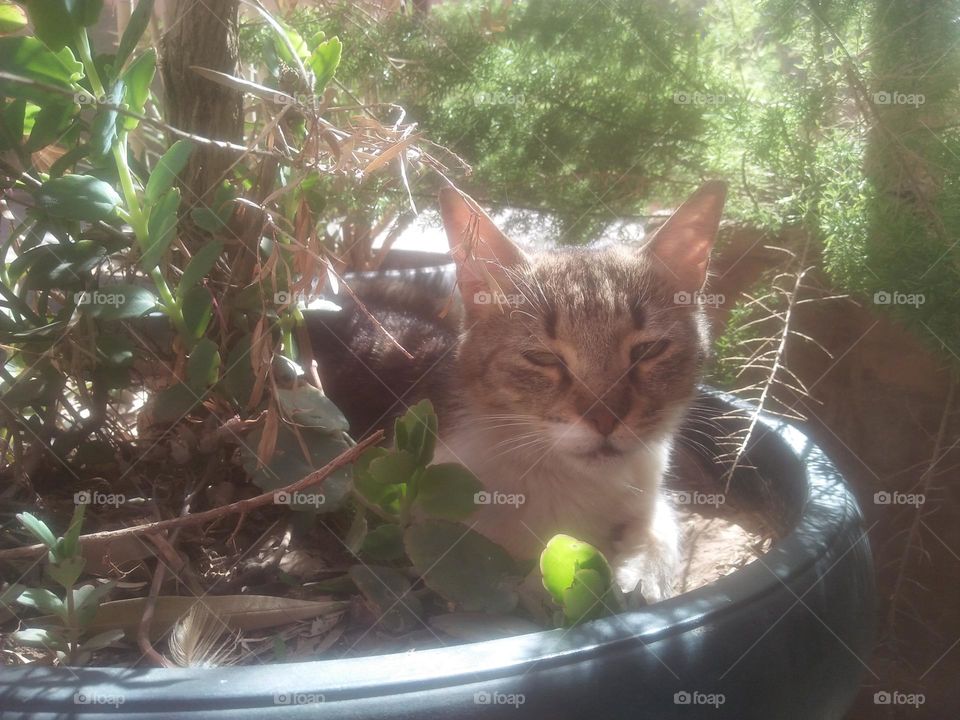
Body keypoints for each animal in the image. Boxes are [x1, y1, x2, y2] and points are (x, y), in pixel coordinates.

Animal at [310, 180, 728, 600]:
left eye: (648, 351)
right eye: (542, 358)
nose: (605, 419)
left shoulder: (650, 493)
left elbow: (660, 532)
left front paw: (634, 578)